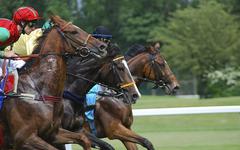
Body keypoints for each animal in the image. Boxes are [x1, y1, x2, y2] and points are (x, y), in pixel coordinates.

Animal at [0, 15, 109, 150]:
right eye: (73, 31)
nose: (102, 46)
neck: (38, 91)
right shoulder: (25, 138)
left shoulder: (53, 134)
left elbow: (84, 139)